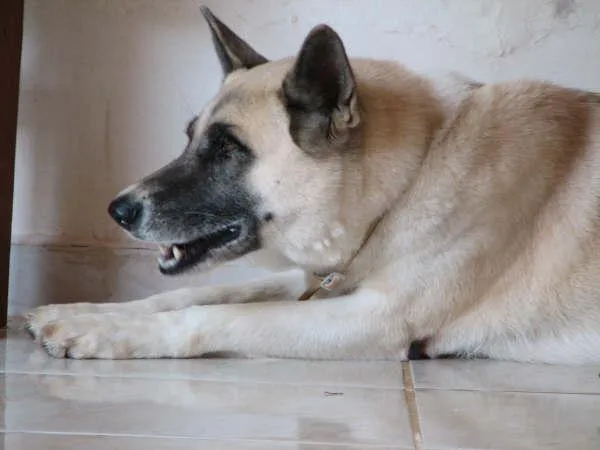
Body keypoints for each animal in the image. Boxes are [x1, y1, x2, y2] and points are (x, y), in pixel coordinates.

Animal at [23, 7, 600, 364]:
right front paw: (82, 313)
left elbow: (214, 314)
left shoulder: (374, 322)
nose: (117, 210)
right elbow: (199, 292)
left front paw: (107, 332)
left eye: (227, 150)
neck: (416, 170)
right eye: (189, 139)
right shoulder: (315, 282)